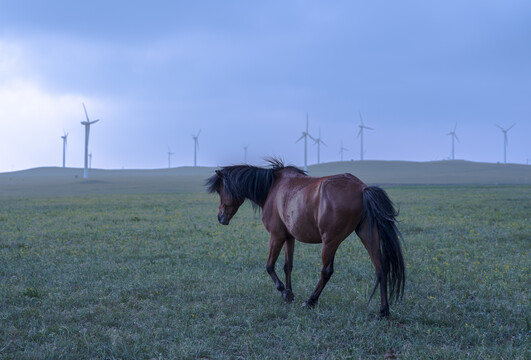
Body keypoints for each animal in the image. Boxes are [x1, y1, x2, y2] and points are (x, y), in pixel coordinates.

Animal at [206, 159, 406, 316]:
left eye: (220, 190)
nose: (220, 217)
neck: (272, 187)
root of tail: (362, 188)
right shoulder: (289, 237)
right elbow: (288, 266)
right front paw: (289, 293)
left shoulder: (276, 236)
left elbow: (270, 266)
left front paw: (284, 293)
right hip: (366, 235)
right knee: (380, 269)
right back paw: (384, 310)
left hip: (330, 241)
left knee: (326, 271)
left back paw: (311, 301)